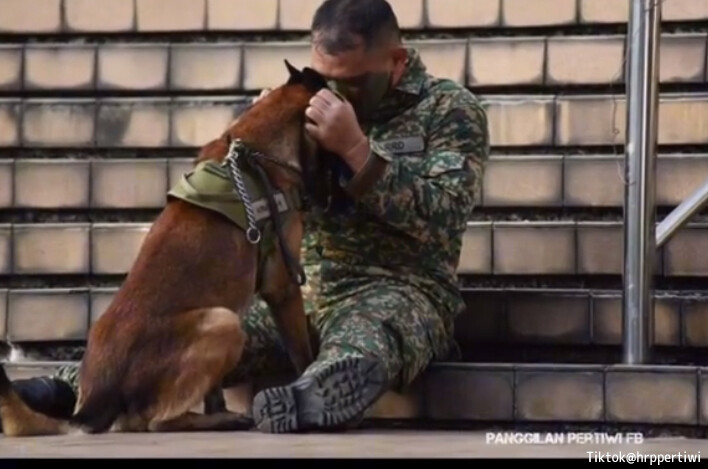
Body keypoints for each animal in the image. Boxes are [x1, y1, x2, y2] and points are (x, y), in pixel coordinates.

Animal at [0, 61, 334, 436]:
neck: (257, 149)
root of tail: (96, 401)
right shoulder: (283, 286)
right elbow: (301, 352)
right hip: (222, 321)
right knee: (156, 422)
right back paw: (218, 420)